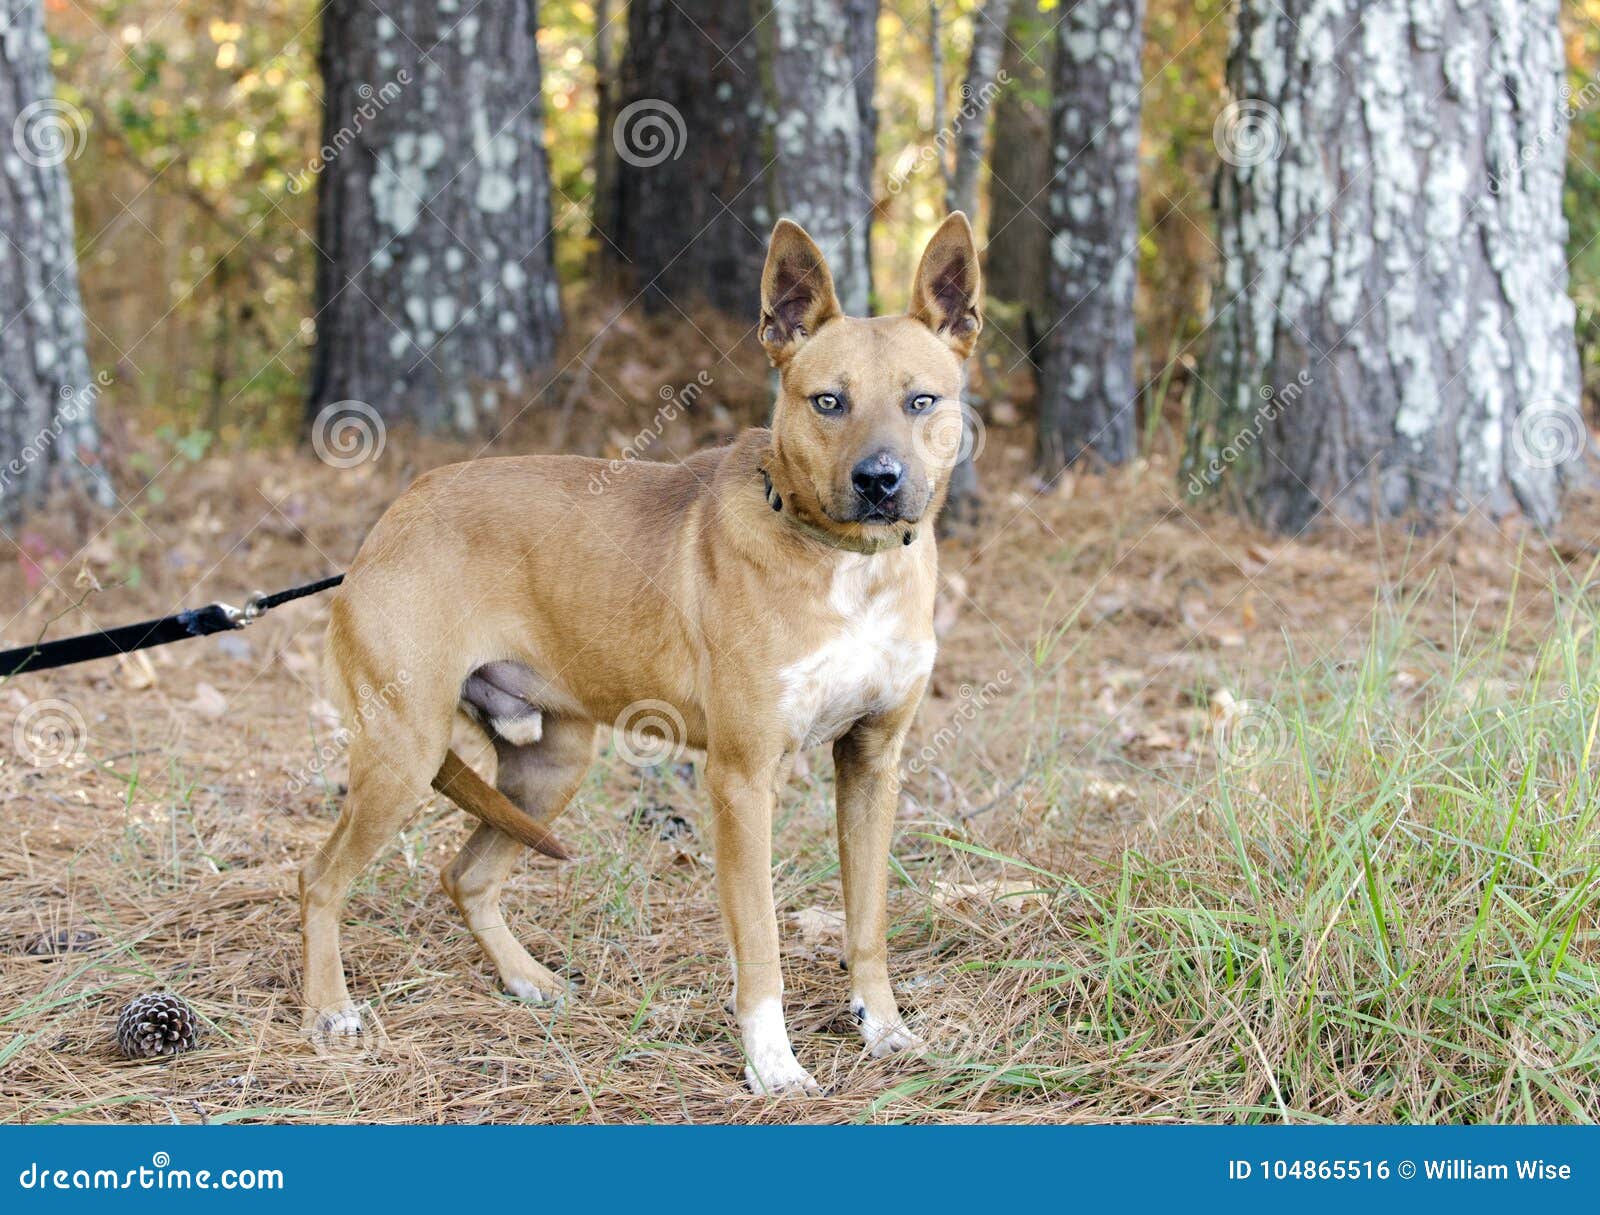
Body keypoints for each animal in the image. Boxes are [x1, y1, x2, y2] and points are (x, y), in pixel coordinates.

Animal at [297, 211, 972, 1094]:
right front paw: (772, 1063)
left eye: (922, 400)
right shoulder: (741, 780)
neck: (848, 565)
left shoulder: (871, 762)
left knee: (465, 875)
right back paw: (328, 1011)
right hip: (402, 753)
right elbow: (760, 943)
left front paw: (883, 1026)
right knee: (318, 878)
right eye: (828, 401)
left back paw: (526, 979)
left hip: (549, 766)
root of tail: (385, 524)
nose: (879, 481)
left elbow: (868, 919)